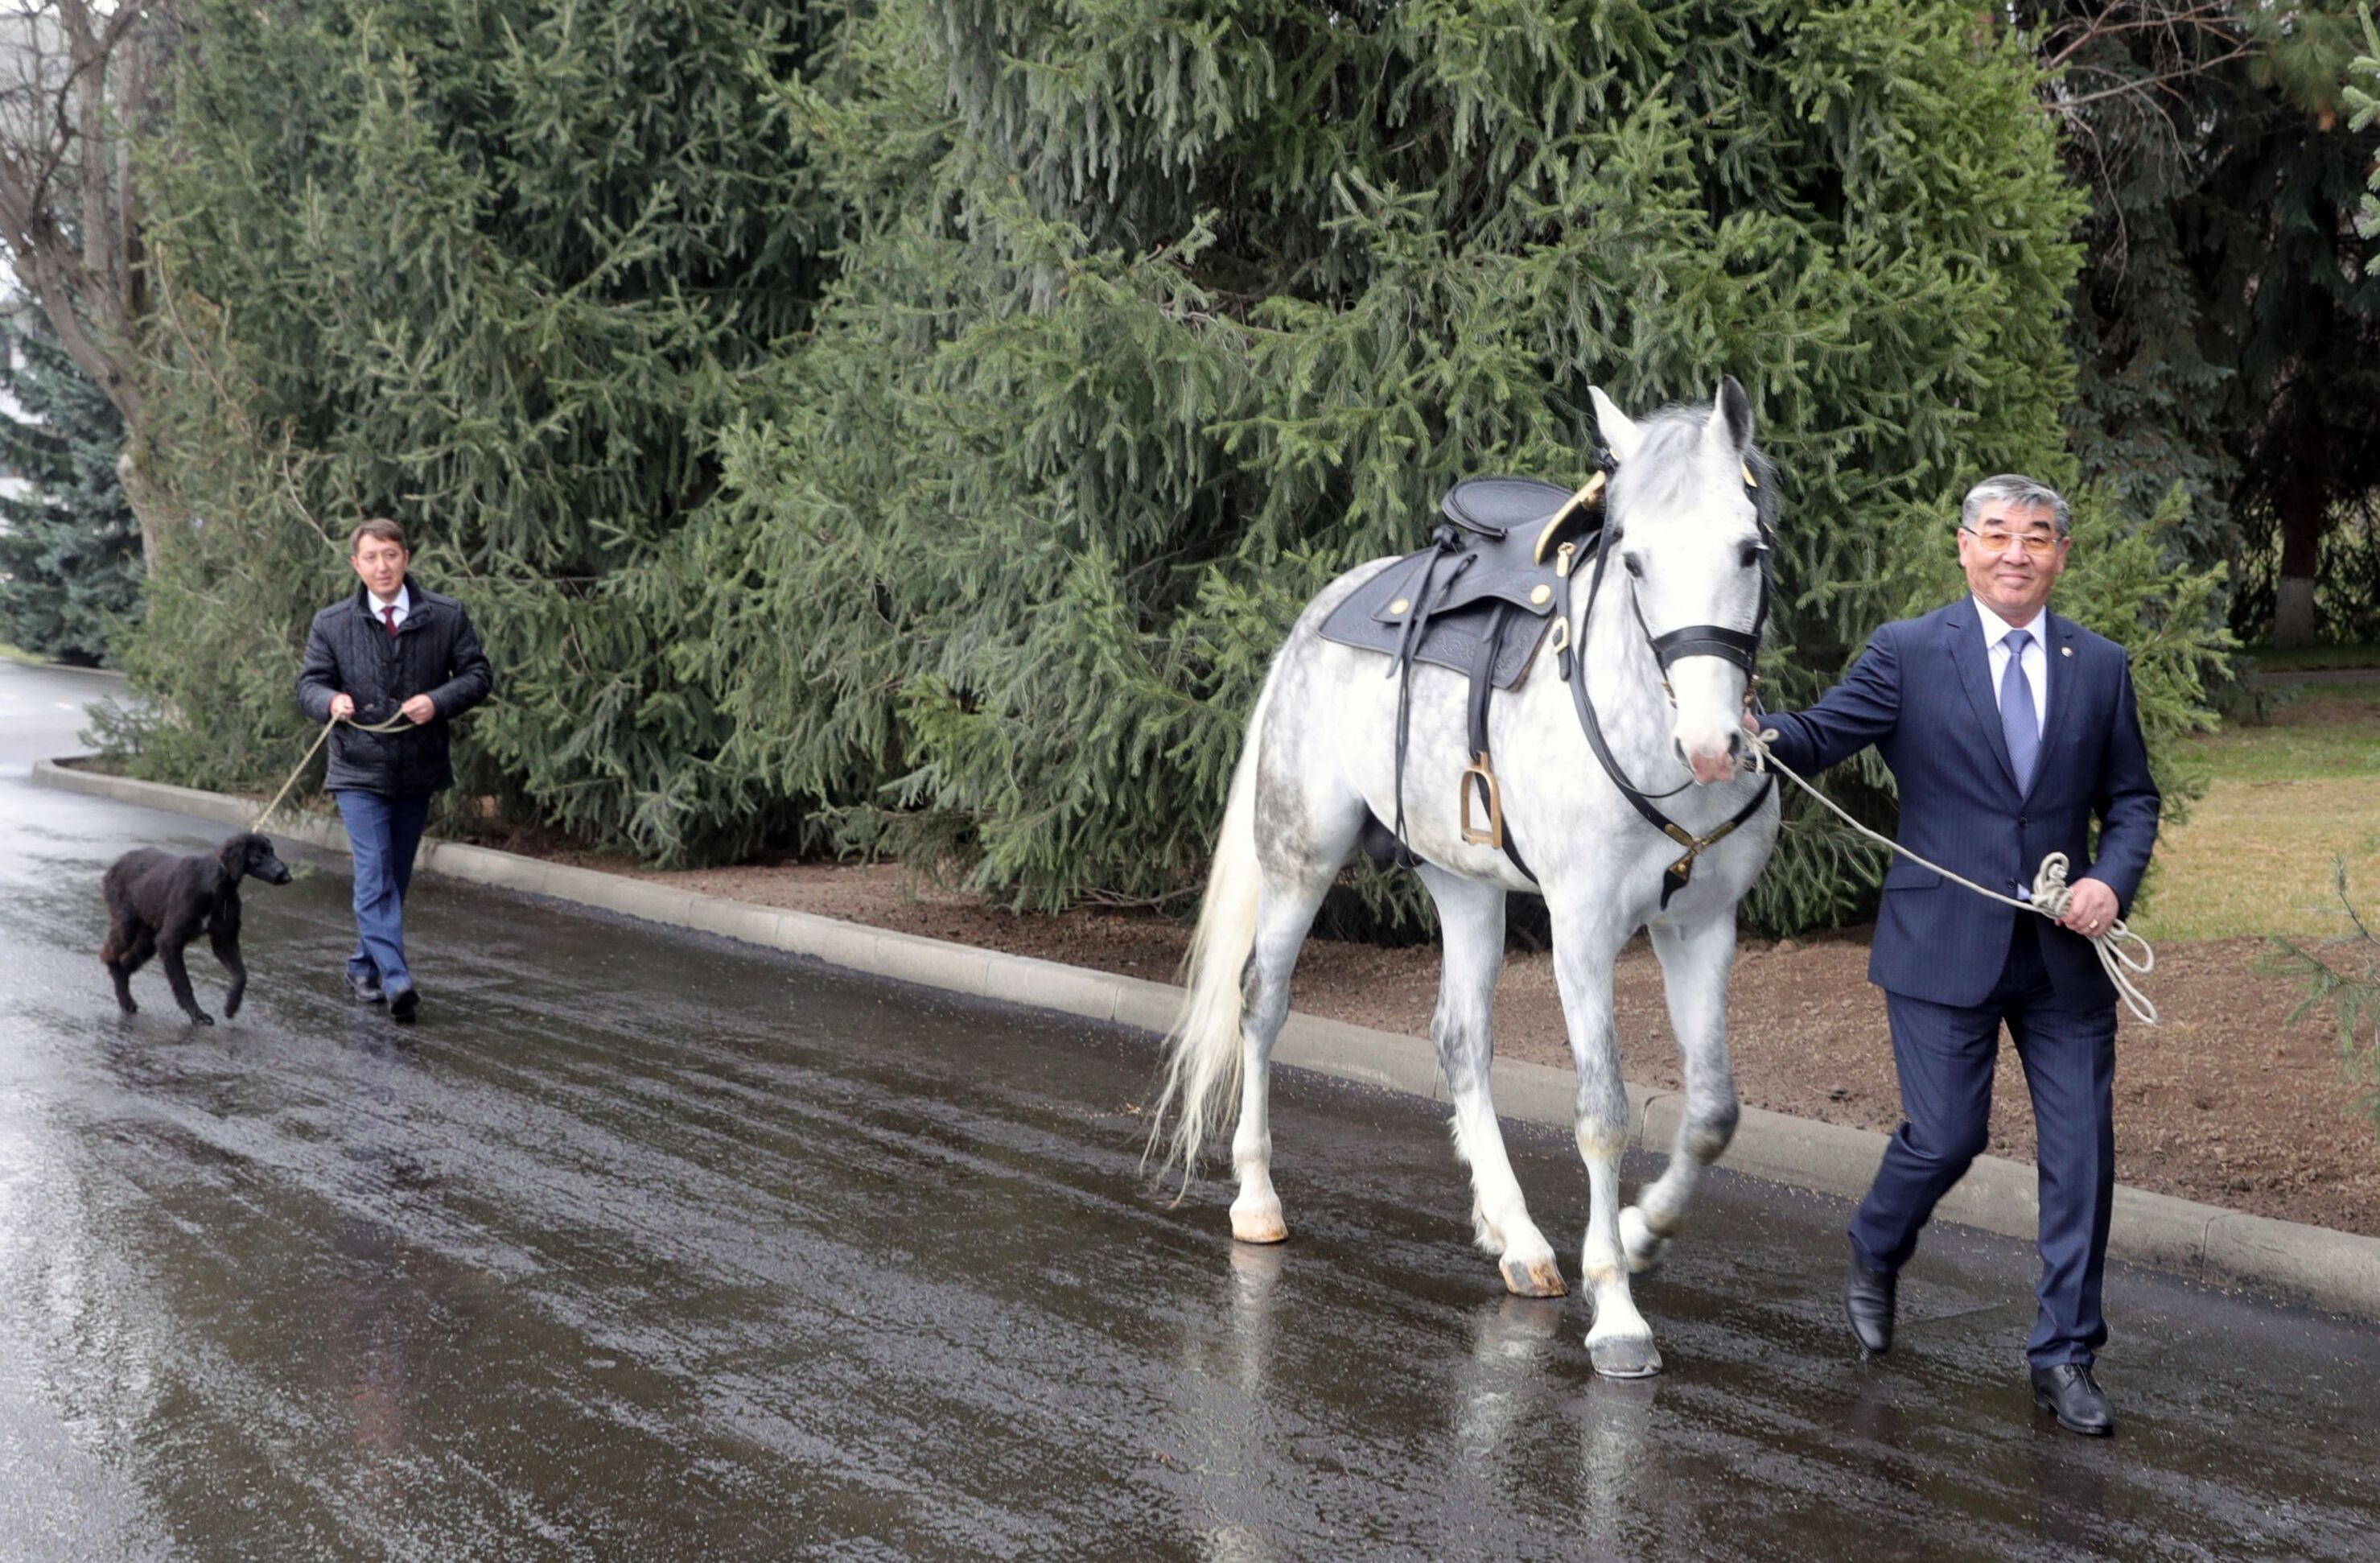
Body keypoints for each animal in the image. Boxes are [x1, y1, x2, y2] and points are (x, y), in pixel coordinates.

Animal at [100, 827, 292, 1023]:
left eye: (272, 851)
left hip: (148, 939)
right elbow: (183, 982)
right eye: (257, 856)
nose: (286, 876)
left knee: (125, 964)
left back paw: (127, 999)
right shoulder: (170, 940)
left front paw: (231, 1006)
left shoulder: (224, 941)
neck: (219, 887)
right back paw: (124, 999)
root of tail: (115, 866)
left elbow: (241, 975)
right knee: (109, 955)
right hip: (126, 925)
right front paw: (197, 1015)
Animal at [1151, 377, 1789, 1379]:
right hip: (1300, 858)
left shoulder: (1702, 927)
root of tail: (1321, 610)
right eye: (1634, 560)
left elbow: (1714, 1110)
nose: (1714, 745)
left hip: (1466, 885)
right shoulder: (1583, 929)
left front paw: (1641, 1231)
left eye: (1748, 548)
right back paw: (1256, 1198)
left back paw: (1516, 1236)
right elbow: (1603, 1112)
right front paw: (1618, 1309)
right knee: (1261, 1003)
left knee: (1459, 1039)